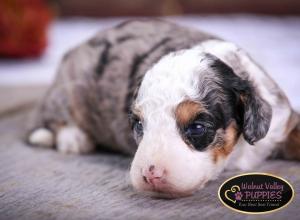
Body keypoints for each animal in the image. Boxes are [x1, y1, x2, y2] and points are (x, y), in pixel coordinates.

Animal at [26, 18, 300, 198]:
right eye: (139, 124)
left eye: (197, 127)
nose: (150, 175)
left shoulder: (283, 120)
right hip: (68, 89)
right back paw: (74, 138)